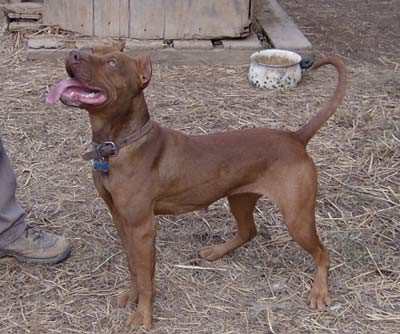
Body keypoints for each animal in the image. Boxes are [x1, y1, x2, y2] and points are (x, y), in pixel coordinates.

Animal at [47, 48, 346, 330]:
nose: (73, 54)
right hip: (240, 198)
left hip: (297, 218)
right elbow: (133, 266)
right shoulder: (121, 220)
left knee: (323, 253)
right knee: (248, 231)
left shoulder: (142, 227)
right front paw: (132, 296)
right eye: (89, 50)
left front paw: (143, 314)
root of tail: (295, 137)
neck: (120, 145)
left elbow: (145, 275)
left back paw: (319, 291)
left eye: (112, 62)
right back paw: (216, 252)